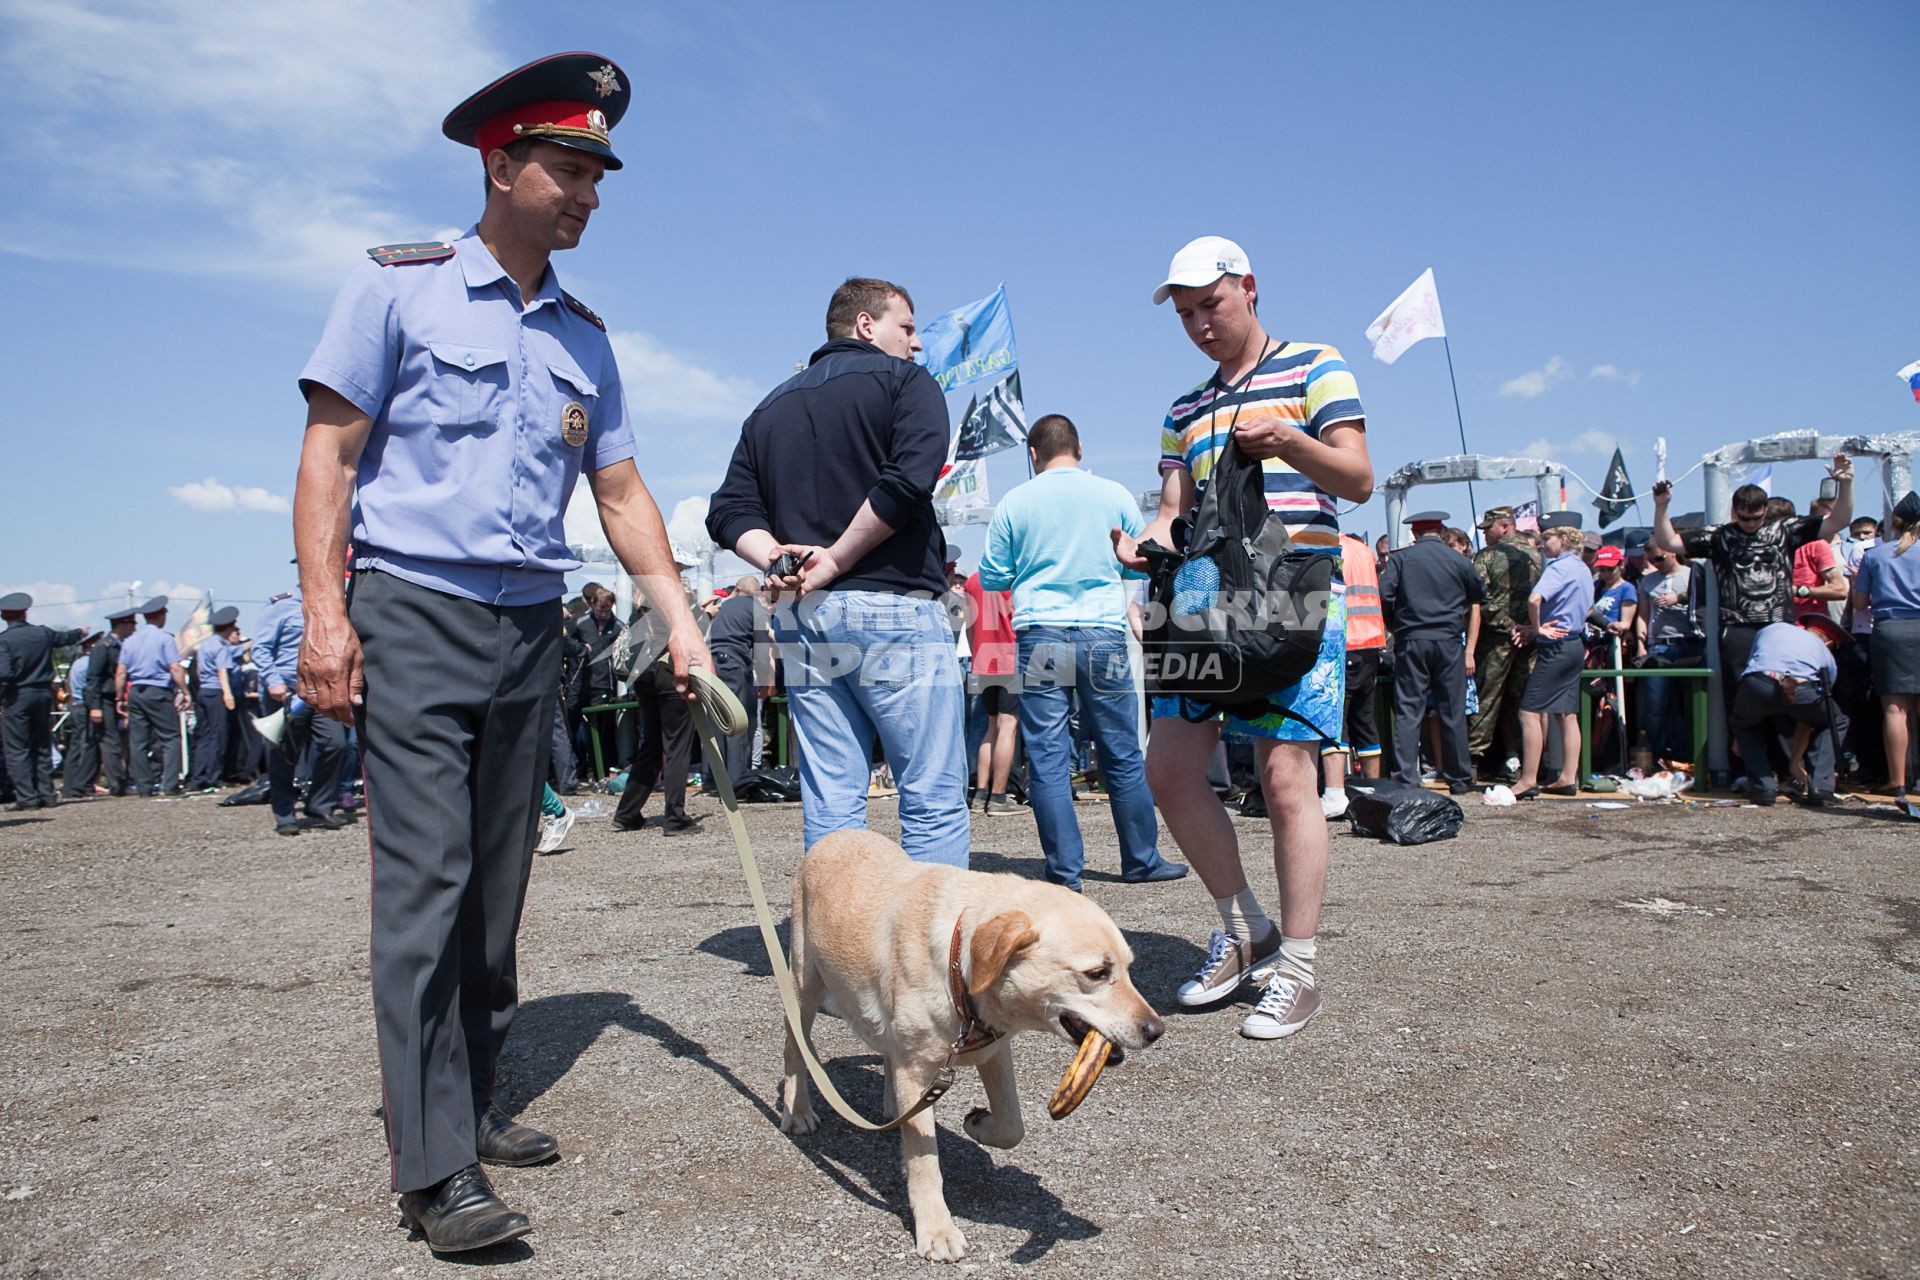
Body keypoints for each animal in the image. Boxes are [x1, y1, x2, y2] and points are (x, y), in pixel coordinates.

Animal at [775, 832, 1159, 1258]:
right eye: (1096, 973)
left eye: (1129, 968)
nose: (1155, 1030)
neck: (958, 966)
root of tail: (837, 834)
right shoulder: (920, 1070)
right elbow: (926, 1162)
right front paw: (937, 1229)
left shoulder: (994, 1052)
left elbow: (1012, 1127)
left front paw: (977, 1124)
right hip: (804, 986)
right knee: (795, 1049)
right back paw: (798, 1111)